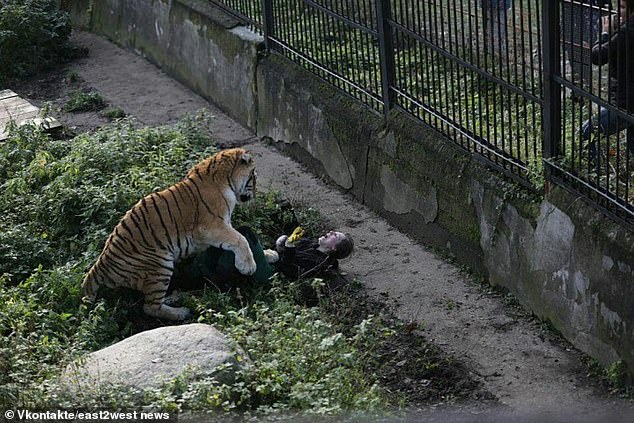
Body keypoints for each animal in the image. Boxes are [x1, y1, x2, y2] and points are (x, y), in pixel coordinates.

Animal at [81, 147, 256, 320]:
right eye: (253, 175)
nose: (255, 194)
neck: (226, 178)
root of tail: (99, 265)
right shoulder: (210, 226)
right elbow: (240, 239)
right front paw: (248, 266)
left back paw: (175, 297)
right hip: (160, 265)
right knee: (150, 307)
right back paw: (181, 312)